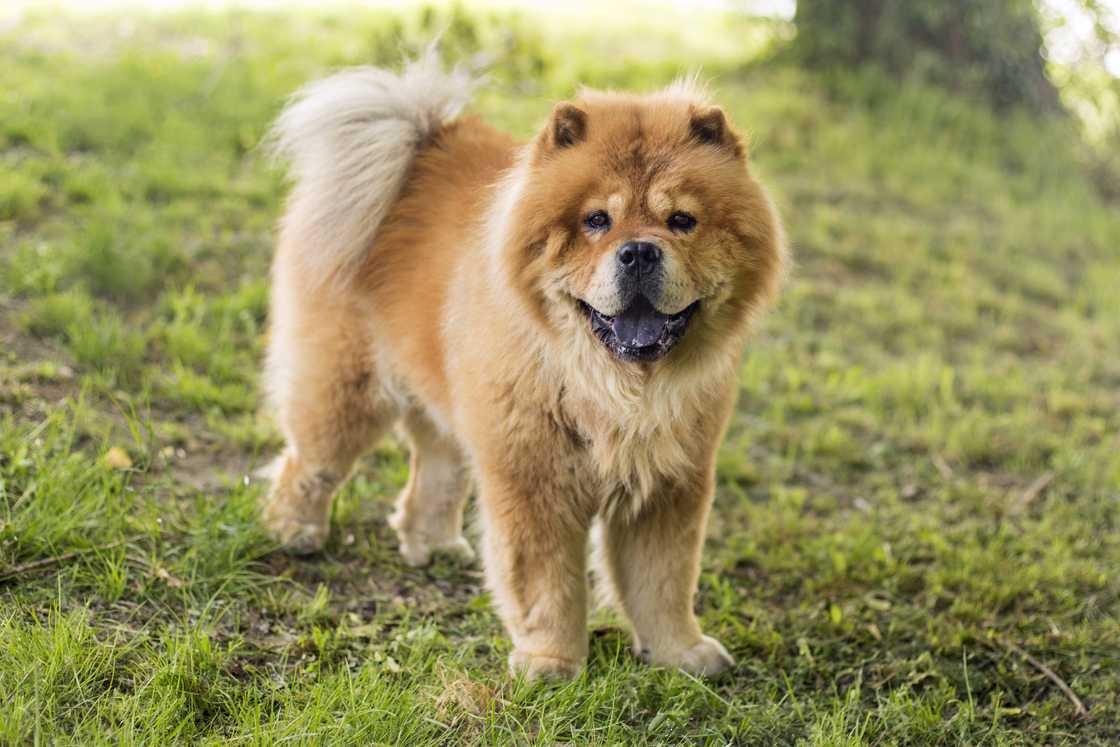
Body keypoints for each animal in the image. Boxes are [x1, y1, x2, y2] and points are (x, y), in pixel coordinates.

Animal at [262, 54, 788, 685]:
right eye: (596, 220)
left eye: (682, 220)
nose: (639, 250)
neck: (613, 389)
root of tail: (418, 139)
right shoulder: (533, 480)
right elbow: (545, 584)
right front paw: (552, 663)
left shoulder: (670, 485)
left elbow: (664, 582)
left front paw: (680, 653)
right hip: (348, 392)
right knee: (309, 463)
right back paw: (295, 532)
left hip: (452, 403)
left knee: (436, 472)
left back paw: (432, 545)